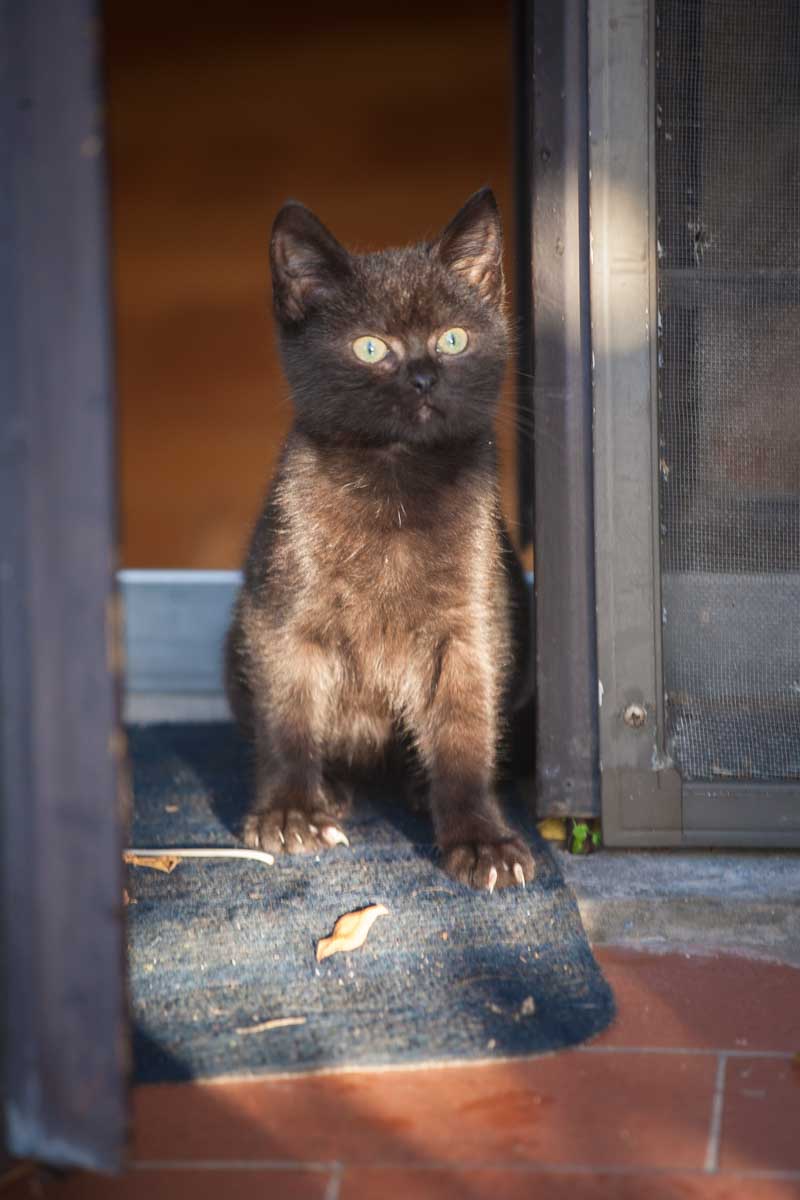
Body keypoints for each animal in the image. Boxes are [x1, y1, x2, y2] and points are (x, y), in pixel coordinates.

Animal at [225, 187, 534, 892]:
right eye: (371, 349)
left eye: (452, 339)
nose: (422, 377)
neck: (394, 484)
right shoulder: (281, 613)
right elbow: (287, 713)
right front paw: (289, 812)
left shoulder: (470, 625)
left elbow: (466, 730)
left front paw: (480, 838)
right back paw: (332, 788)